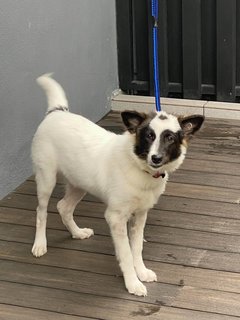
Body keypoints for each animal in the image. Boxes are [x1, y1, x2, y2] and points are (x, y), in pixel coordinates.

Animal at [31, 74, 204, 296]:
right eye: (148, 136)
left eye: (170, 138)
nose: (155, 158)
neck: (139, 167)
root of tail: (57, 112)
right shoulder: (115, 217)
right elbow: (127, 253)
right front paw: (132, 283)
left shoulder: (140, 214)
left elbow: (137, 248)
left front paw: (142, 272)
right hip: (46, 178)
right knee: (41, 211)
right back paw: (39, 244)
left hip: (79, 183)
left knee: (63, 207)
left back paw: (77, 233)